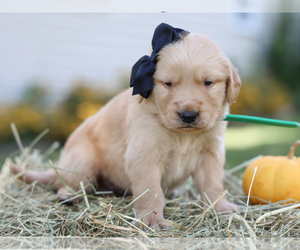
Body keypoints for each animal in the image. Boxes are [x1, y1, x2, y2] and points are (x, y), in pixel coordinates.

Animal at [10, 23, 241, 230]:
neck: (183, 134)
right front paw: (151, 219)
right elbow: (151, 191)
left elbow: (213, 185)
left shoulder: (210, 154)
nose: (188, 115)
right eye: (168, 84)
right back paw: (67, 195)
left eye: (208, 82)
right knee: (67, 182)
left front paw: (222, 207)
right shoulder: (144, 155)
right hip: (83, 162)